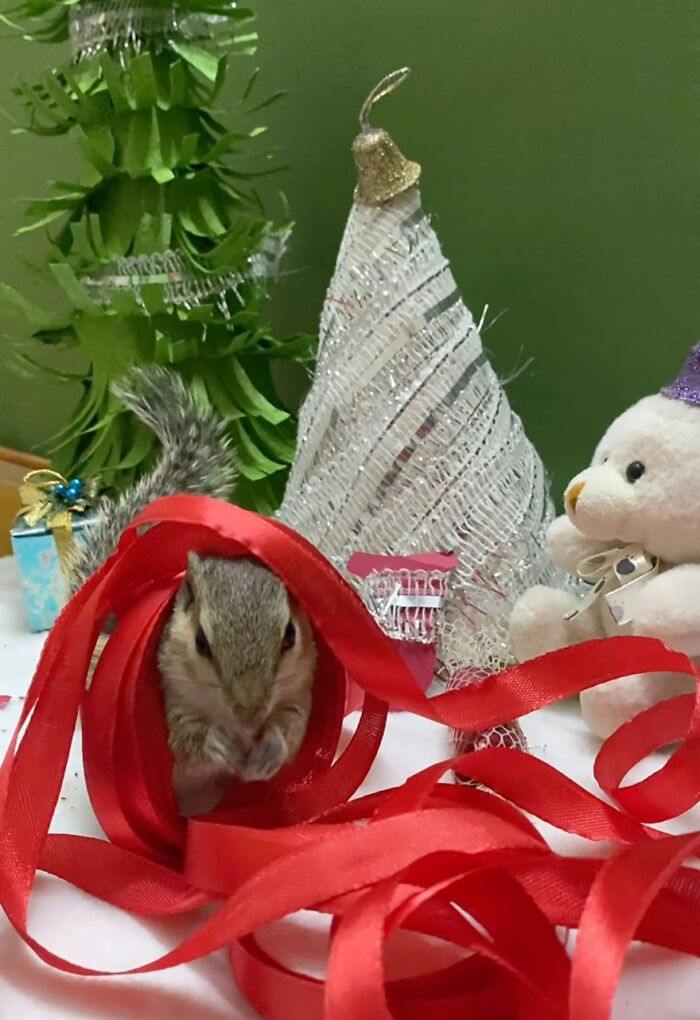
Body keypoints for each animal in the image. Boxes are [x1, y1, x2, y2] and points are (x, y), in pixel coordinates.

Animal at [68, 367, 316, 803]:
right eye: (201, 641)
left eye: (289, 635)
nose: (249, 712)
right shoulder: (173, 698)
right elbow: (187, 739)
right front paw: (220, 742)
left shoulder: (299, 691)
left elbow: (292, 726)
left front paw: (269, 749)